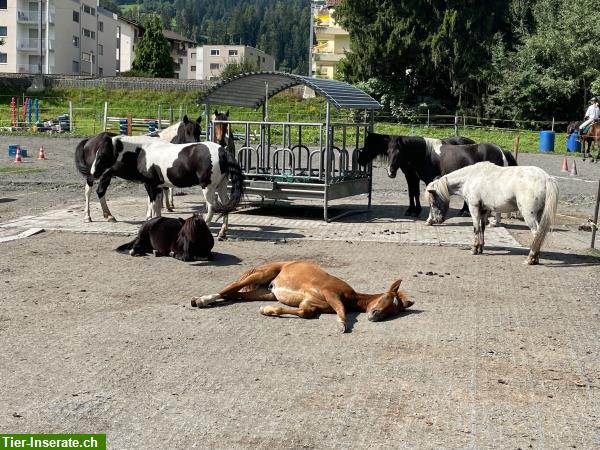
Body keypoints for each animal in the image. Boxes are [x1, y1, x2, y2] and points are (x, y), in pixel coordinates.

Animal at [191, 262, 412, 332]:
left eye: (394, 311)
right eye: (386, 297)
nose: (375, 316)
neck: (351, 296)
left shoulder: (310, 304)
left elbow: (305, 313)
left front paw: (267, 311)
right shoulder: (331, 293)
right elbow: (341, 309)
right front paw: (342, 325)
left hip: (265, 292)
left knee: (234, 295)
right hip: (261, 274)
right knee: (228, 289)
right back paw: (201, 300)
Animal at [426, 162, 556, 266]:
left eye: (433, 202)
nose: (437, 220)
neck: (470, 177)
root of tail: (546, 178)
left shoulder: (474, 208)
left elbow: (476, 228)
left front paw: (474, 249)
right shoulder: (484, 210)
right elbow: (482, 228)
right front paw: (480, 248)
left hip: (529, 216)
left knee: (536, 233)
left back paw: (530, 259)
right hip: (539, 214)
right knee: (540, 235)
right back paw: (535, 259)